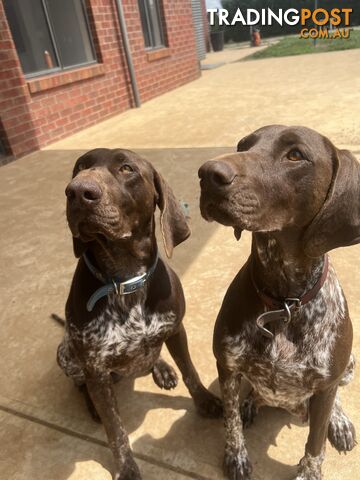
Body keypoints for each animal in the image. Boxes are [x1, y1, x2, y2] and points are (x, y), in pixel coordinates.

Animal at [57, 148, 221, 478]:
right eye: (79, 167)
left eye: (126, 168)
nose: (78, 191)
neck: (125, 279)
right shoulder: (94, 367)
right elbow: (115, 430)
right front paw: (127, 468)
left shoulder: (175, 329)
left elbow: (191, 372)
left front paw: (204, 400)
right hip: (66, 354)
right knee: (81, 384)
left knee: (152, 353)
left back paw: (161, 367)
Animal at [198, 125, 358, 478]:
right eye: (243, 146)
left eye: (295, 155)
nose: (207, 174)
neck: (284, 303)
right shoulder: (227, 368)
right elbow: (231, 422)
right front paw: (236, 456)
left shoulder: (326, 384)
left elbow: (315, 443)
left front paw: (310, 471)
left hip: (348, 366)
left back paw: (339, 421)